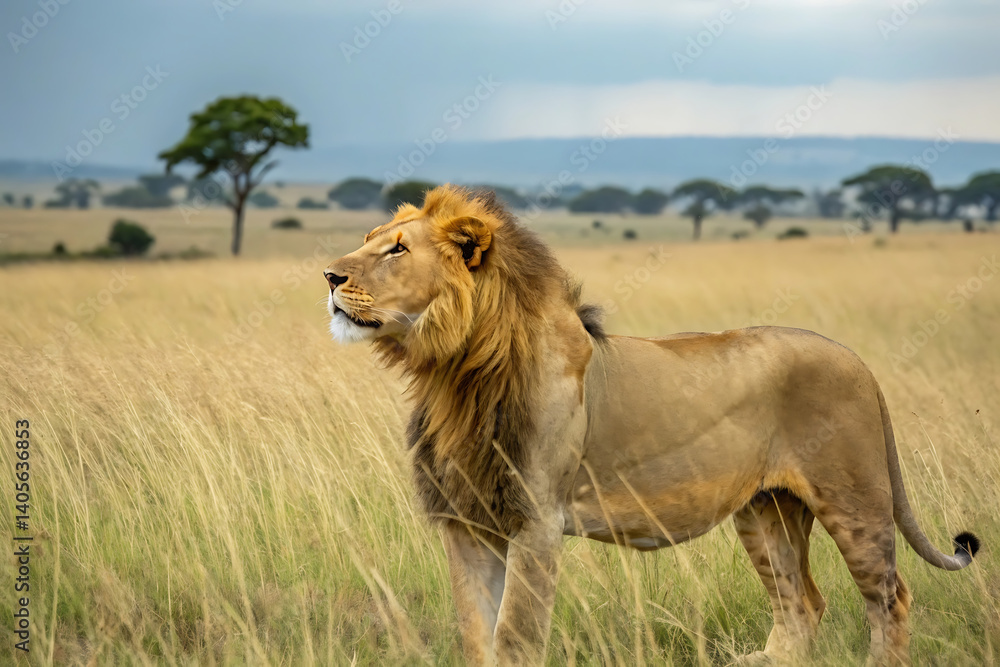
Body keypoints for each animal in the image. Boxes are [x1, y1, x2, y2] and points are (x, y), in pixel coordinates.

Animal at [324, 185, 979, 666]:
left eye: (397, 251)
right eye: (367, 241)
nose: (329, 276)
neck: (456, 373)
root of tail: (857, 359)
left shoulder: (535, 522)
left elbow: (514, 637)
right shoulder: (465, 521)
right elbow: (475, 635)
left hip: (854, 500)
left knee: (889, 598)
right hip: (764, 509)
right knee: (802, 603)